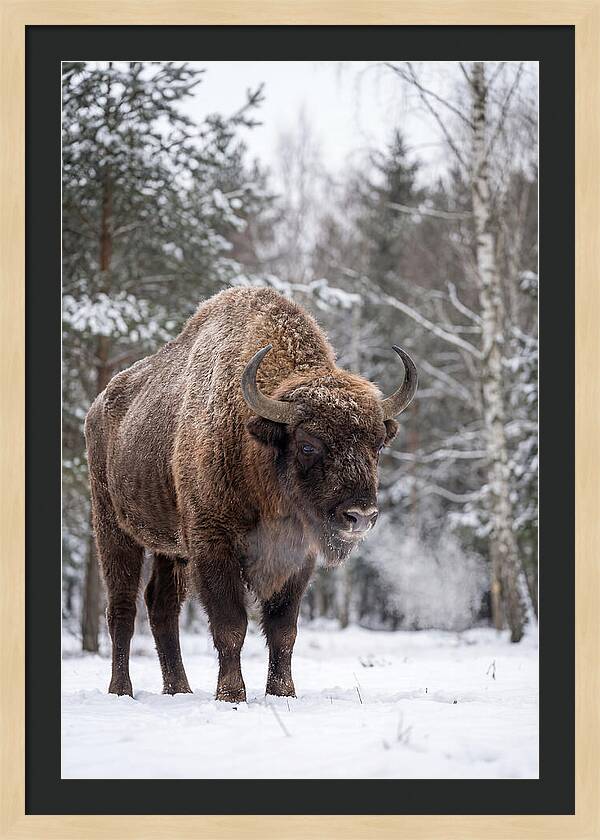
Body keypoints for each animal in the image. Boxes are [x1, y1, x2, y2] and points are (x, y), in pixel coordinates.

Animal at [85, 287, 417, 700]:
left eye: (377, 445)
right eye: (308, 444)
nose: (360, 516)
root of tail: (98, 407)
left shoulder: (297, 557)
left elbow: (283, 630)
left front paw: (283, 693)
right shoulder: (213, 545)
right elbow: (231, 626)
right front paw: (231, 696)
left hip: (169, 548)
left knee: (161, 607)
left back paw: (179, 690)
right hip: (113, 528)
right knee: (122, 609)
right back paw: (121, 690)